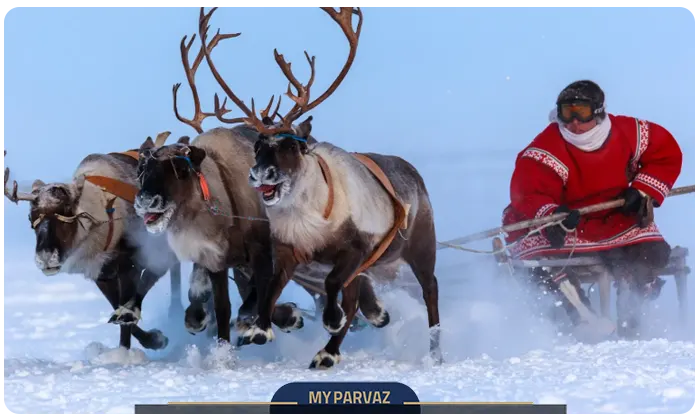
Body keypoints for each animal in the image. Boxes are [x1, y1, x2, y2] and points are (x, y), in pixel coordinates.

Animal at [3, 147, 186, 352]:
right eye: (31, 217)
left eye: (67, 212)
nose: (45, 258)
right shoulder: (102, 275)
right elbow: (117, 309)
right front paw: (154, 339)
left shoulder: (130, 267)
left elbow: (126, 310)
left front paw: (129, 350)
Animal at [196, 5, 443, 369]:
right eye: (258, 145)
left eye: (290, 145)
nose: (259, 174)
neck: (308, 216)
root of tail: (413, 172)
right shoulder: (287, 250)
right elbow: (270, 289)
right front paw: (260, 329)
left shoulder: (355, 250)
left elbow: (331, 283)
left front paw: (331, 318)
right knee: (354, 299)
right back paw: (328, 352)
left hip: (422, 245)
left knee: (430, 291)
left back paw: (435, 350)